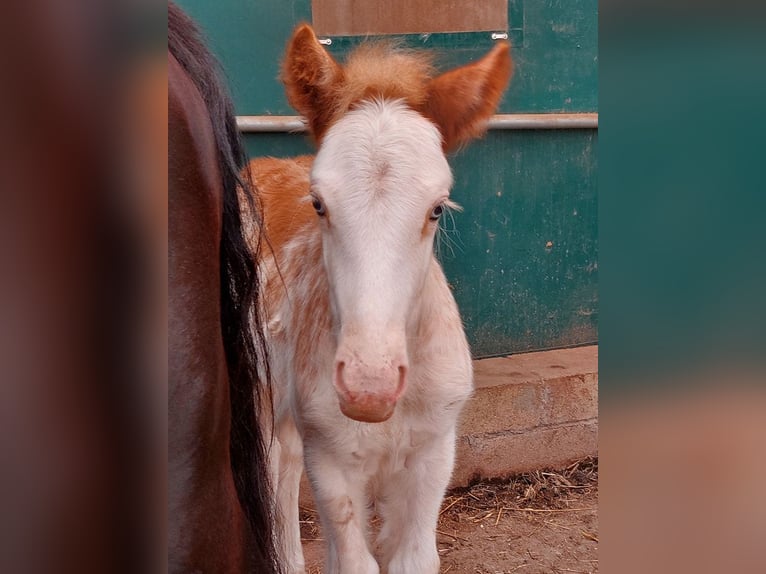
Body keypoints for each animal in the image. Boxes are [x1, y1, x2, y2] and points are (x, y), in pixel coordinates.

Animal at [252, 24, 512, 572]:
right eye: (318, 204)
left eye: (437, 208)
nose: (368, 386)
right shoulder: (330, 460)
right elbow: (354, 561)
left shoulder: (433, 454)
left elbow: (414, 559)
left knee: (284, 462)